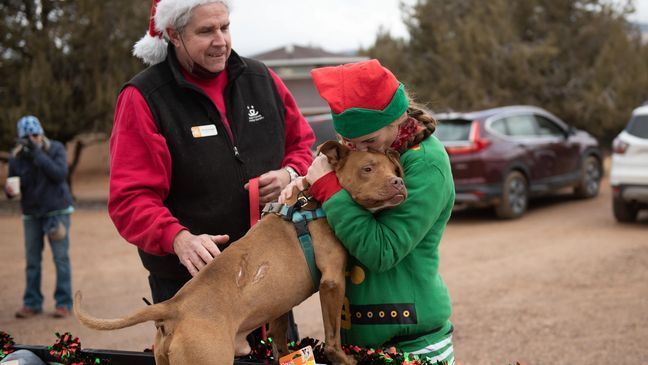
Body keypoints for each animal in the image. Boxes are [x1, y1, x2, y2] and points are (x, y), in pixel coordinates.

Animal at [74, 141, 404, 362]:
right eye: (367, 169)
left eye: (394, 169)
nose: (399, 181)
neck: (313, 202)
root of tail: (174, 306)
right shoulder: (332, 281)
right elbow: (333, 336)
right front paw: (345, 359)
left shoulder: (278, 304)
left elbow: (280, 342)